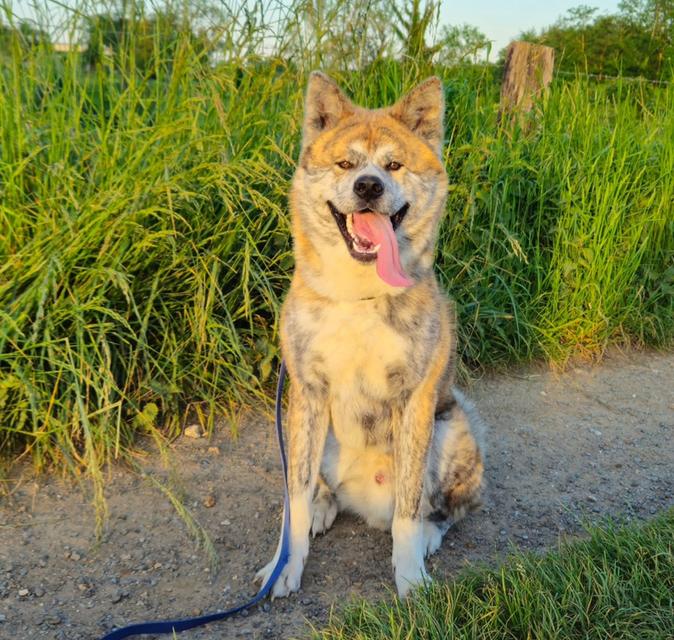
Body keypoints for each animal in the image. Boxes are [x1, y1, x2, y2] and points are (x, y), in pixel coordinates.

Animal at [258, 72, 484, 596]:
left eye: (394, 164)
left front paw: (410, 577)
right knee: (317, 488)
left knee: (447, 506)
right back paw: (325, 506)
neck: (359, 293)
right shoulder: (307, 394)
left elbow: (409, 507)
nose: (368, 186)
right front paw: (285, 564)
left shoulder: (415, 400)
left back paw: (428, 536)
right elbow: (294, 500)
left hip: (455, 427)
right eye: (346, 163)